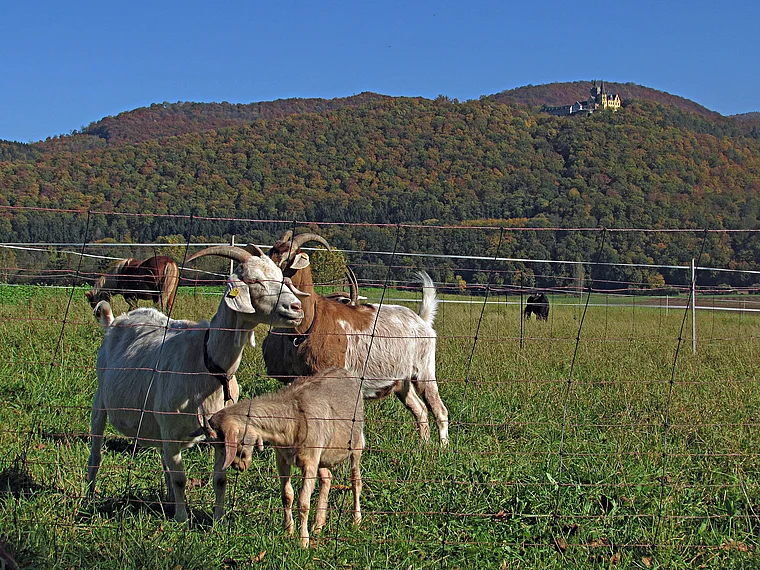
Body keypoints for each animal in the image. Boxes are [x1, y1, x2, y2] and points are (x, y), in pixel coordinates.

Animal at [86, 245, 308, 523]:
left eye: (281, 277)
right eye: (253, 280)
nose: (296, 307)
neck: (208, 362)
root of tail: (114, 321)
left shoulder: (222, 434)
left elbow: (220, 479)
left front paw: (218, 520)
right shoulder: (170, 428)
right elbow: (181, 478)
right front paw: (181, 520)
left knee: (163, 461)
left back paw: (168, 498)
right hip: (101, 400)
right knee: (96, 451)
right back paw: (89, 497)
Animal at [198, 367, 365, 547]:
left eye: (227, 444)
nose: (238, 466)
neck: (293, 417)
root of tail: (347, 373)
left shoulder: (310, 461)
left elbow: (303, 502)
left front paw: (303, 542)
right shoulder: (282, 458)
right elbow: (287, 496)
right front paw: (288, 531)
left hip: (356, 443)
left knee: (356, 481)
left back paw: (356, 520)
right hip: (323, 455)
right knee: (327, 478)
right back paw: (318, 525)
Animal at [261, 230, 449, 445]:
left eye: (286, 258)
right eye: (270, 253)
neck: (311, 321)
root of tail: (421, 320)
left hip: (424, 370)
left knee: (439, 409)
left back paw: (442, 447)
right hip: (402, 381)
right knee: (420, 409)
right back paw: (422, 445)